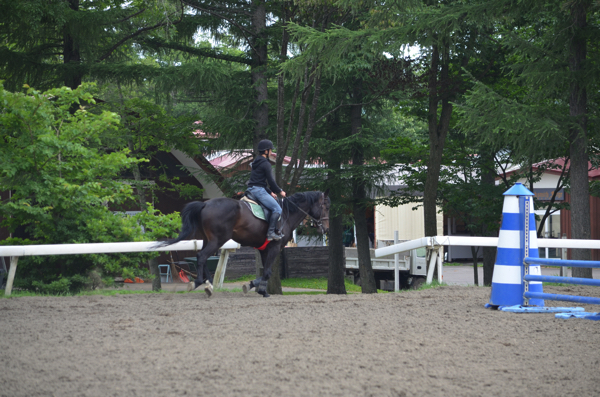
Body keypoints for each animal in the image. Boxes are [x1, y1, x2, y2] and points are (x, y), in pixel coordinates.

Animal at [161, 190, 328, 296]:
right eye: (325, 207)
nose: (325, 228)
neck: (286, 213)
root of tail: (205, 204)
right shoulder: (275, 247)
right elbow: (267, 272)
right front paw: (253, 287)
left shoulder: (264, 249)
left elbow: (266, 271)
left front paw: (260, 289)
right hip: (218, 240)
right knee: (202, 256)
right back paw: (201, 283)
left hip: (208, 240)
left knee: (201, 257)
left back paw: (208, 284)